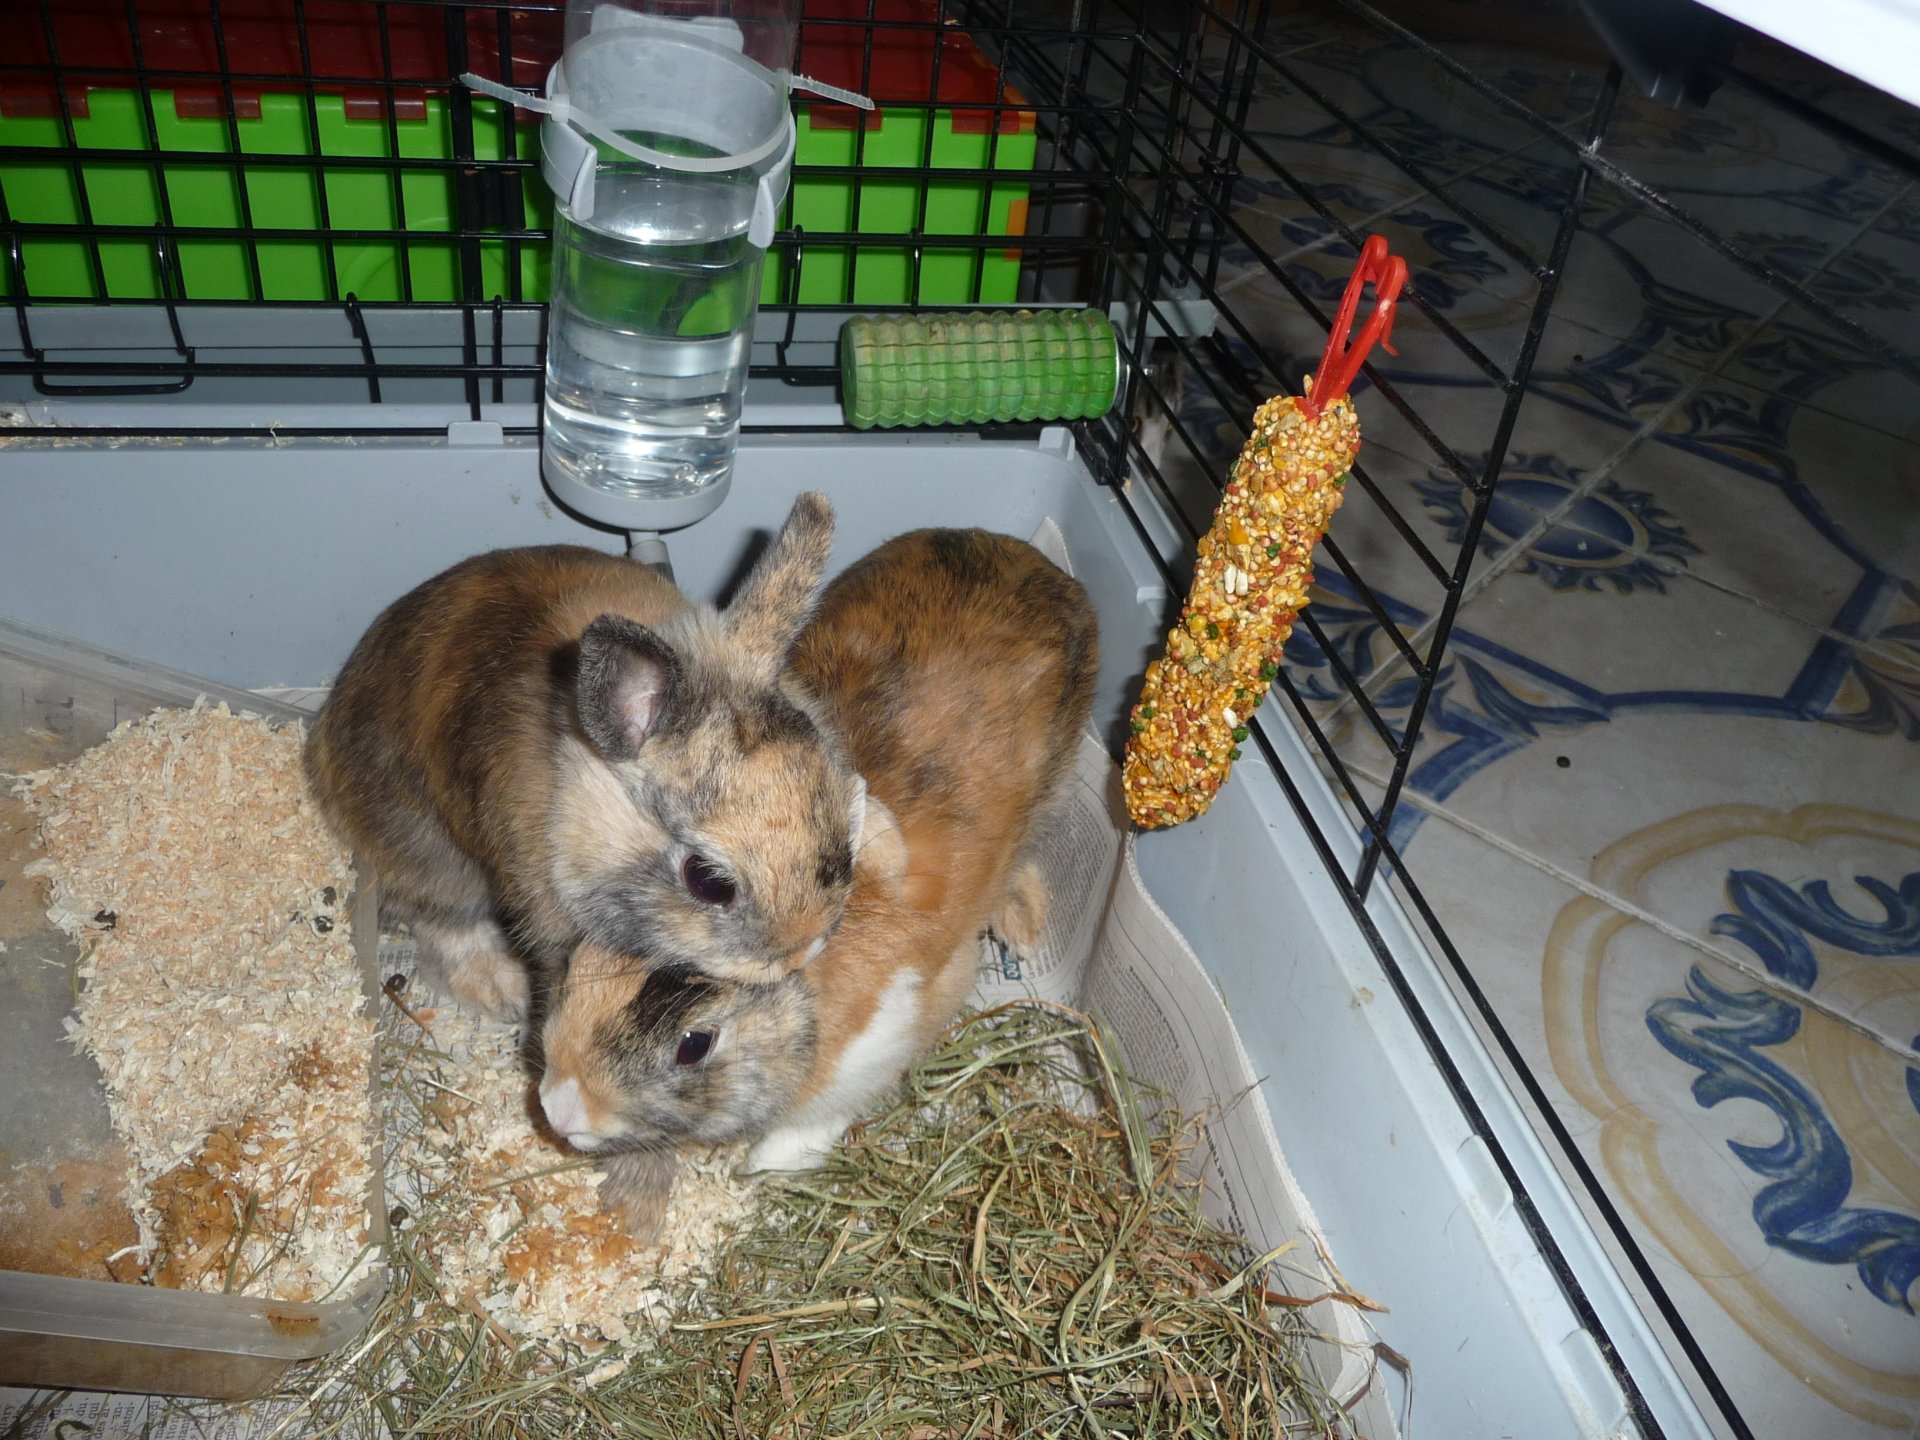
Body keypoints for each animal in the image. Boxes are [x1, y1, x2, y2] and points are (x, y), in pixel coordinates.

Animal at [304, 492, 872, 1020]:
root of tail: (323, 734)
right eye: (708, 882)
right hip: (427, 852)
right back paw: (503, 992)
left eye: (844, 837)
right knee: (444, 922)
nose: (798, 952)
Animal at [536, 528, 1098, 1235]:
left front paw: (764, 1168)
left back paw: (1021, 930)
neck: (803, 997)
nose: (559, 1106)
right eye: (577, 972)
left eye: (694, 1045)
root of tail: (1032, 558)